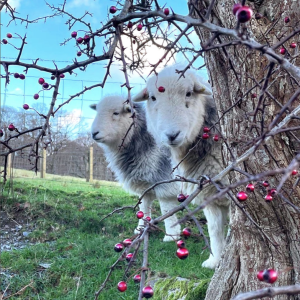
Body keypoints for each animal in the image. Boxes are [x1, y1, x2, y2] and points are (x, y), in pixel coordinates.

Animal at [89, 95, 180, 241]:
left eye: (116, 113)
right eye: (97, 111)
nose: (94, 133)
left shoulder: (165, 180)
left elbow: (167, 209)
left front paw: (171, 236)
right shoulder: (145, 185)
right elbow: (143, 207)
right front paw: (140, 229)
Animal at [134, 66, 230, 270]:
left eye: (189, 93)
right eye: (152, 97)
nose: (172, 135)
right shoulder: (208, 191)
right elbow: (214, 229)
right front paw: (215, 261)